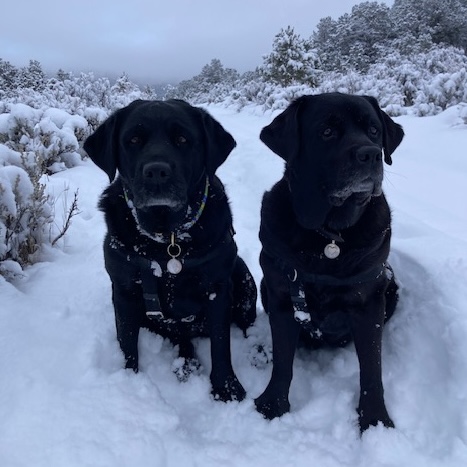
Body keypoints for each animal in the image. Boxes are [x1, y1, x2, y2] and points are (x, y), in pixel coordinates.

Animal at [86, 99, 258, 402]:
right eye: (133, 140)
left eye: (182, 139)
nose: (156, 171)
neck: (167, 242)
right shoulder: (124, 290)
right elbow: (127, 343)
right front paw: (129, 384)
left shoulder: (217, 288)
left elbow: (221, 345)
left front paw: (227, 389)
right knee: (181, 339)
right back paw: (186, 363)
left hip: (244, 275)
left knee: (248, 325)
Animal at [254, 93, 404, 434]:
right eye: (326, 132)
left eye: (374, 131)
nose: (371, 154)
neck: (329, 235)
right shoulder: (282, 296)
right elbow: (283, 360)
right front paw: (273, 404)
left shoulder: (369, 302)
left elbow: (371, 369)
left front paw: (375, 420)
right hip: (265, 287)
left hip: (390, 289)